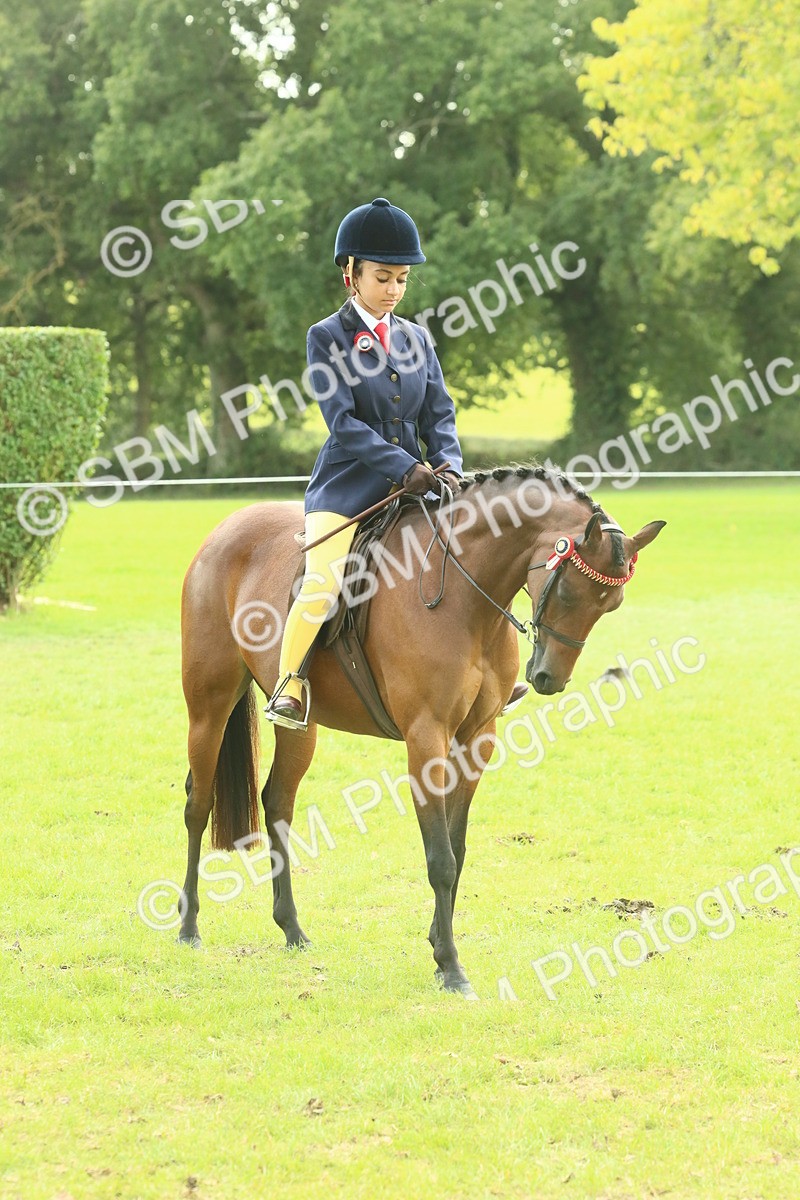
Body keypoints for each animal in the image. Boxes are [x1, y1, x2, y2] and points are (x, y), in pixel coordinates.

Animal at [178, 465, 665, 997]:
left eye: (611, 604)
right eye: (570, 591)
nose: (549, 680)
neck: (465, 598)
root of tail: (223, 530)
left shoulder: (477, 739)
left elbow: (458, 847)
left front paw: (437, 946)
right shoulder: (426, 737)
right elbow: (440, 858)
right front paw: (451, 966)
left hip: (300, 728)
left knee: (278, 803)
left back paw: (292, 930)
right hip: (209, 706)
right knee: (198, 805)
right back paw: (188, 927)